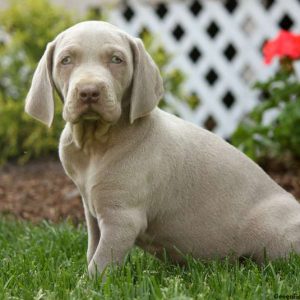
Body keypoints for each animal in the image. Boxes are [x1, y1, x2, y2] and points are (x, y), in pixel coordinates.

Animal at [24, 19, 300, 276]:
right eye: (66, 60)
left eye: (116, 59)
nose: (89, 92)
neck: (95, 145)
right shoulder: (92, 209)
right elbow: (93, 249)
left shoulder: (122, 218)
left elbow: (100, 264)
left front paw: (84, 286)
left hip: (271, 230)